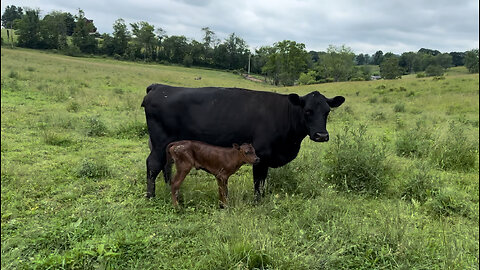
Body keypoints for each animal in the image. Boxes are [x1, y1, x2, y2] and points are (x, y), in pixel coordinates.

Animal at [141, 83, 344, 199]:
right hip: (160, 141)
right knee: (153, 164)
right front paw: (258, 202)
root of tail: (159, 87)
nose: (321, 135)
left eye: (327, 111)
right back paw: (151, 196)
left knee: (166, 164)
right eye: (307, 111)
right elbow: (258, 182)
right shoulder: (260, 156)